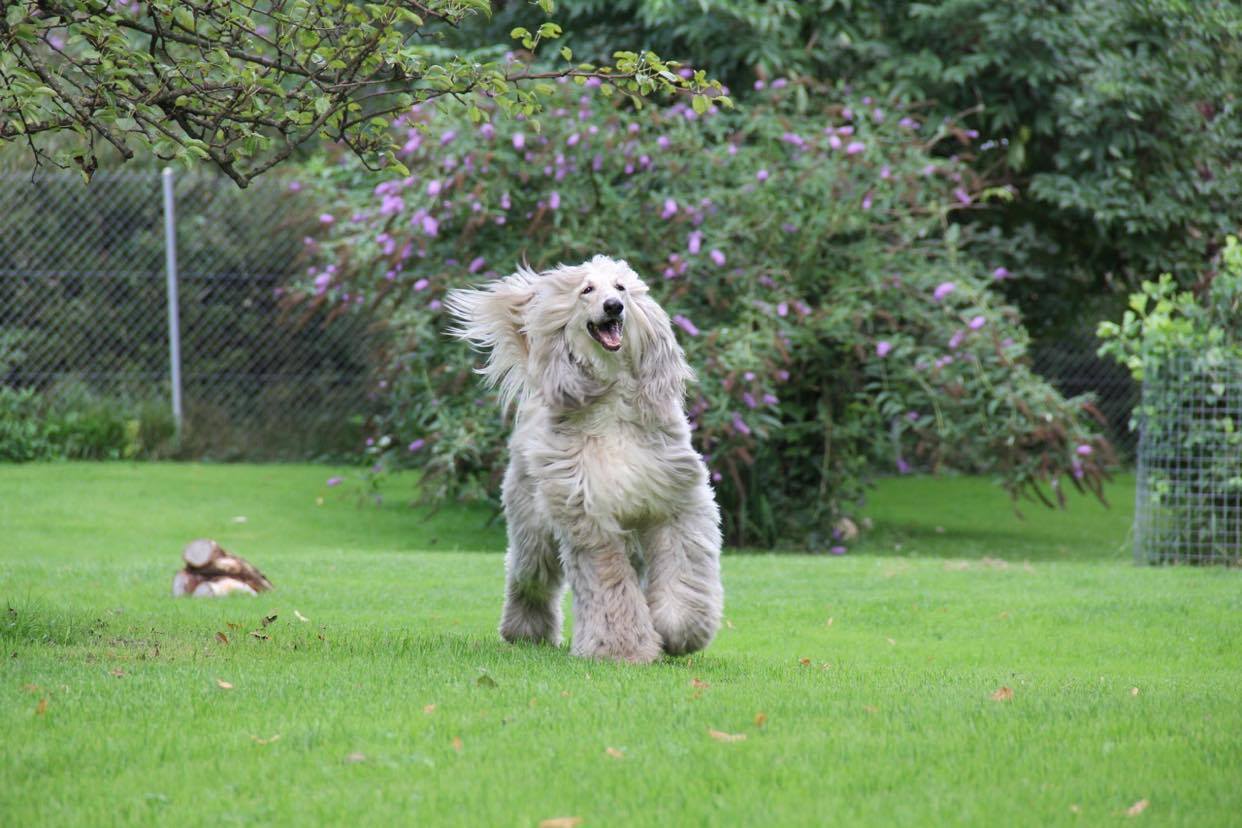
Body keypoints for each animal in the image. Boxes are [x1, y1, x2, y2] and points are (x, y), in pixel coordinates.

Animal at [447, 255, 725, 665]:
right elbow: (609, 581)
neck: (612, 404)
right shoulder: (588, 516)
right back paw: (525, 631)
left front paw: (680, 630)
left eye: (621, 288)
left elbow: (682, 566)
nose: (614, 307)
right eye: (587, 290)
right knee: (529, 574)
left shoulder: (674, 499)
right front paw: (621, 649)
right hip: (533, 525)